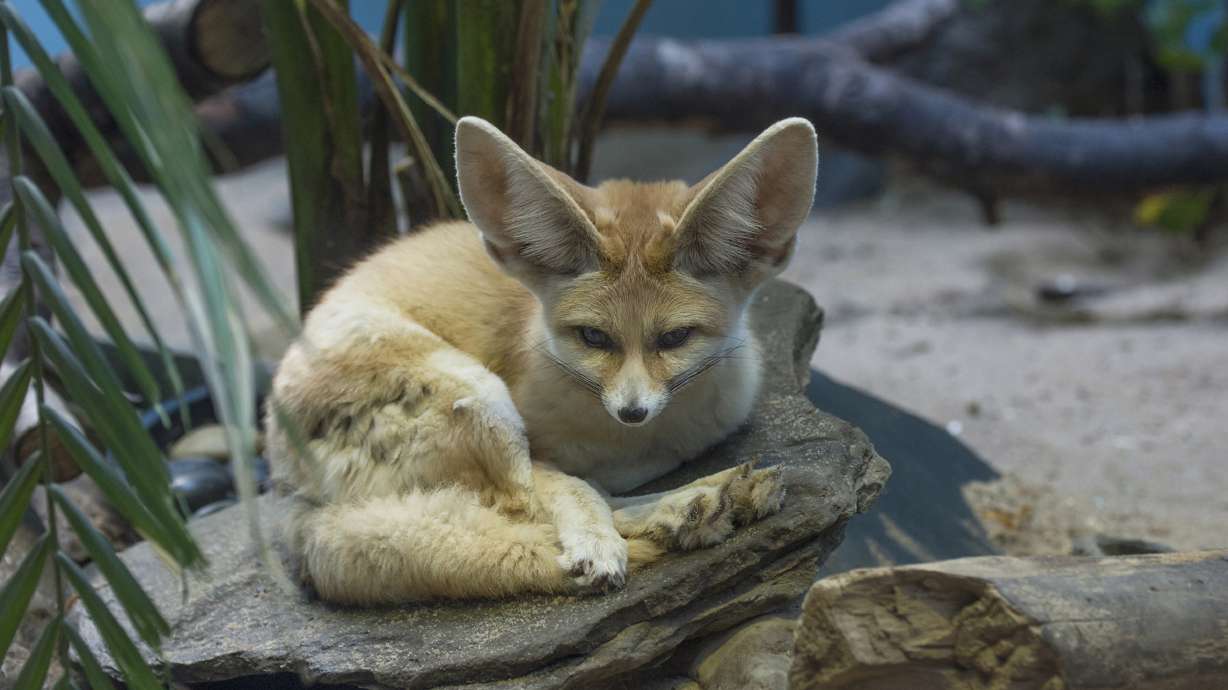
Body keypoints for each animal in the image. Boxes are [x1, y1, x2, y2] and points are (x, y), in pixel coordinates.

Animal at [264, 116, 819, 605]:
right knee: (524, 508)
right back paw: (684, 509)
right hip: (480, 396)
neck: (631, 442)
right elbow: (572, 489)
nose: (632, 412)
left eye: (675, 337)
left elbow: (592, 484)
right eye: (594, 337)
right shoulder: (544, 446)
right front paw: (602, 536)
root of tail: (280, 481)